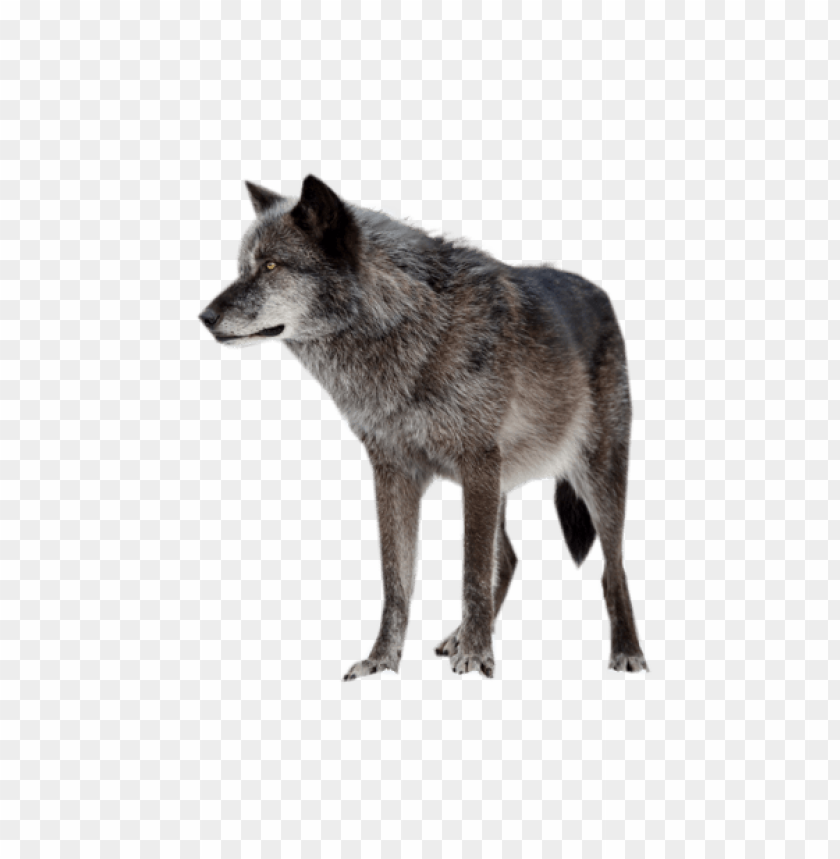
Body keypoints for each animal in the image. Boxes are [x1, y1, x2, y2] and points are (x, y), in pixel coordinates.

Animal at [199, 175, 648, 678]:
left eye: (271, 265)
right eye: (243, 267)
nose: (205, 317)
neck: (409, 328)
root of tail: (601, 294)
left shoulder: (477, 463)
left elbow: (472, 571)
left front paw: (476, 657)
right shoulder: (394, 471)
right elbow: (396, 581)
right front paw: (382, 662)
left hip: (597, 477)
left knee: (613, 567)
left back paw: (627, 653)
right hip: (506, 484)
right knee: (511, 558)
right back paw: (459, 636)